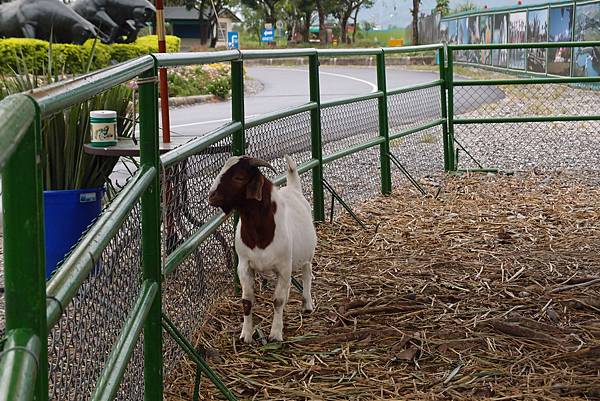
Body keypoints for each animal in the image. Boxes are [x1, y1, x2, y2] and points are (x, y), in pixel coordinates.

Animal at [207, 155, 316, 342]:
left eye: (239, 177)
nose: (211, 196)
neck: (259, 234)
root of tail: (294, 189)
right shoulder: (244, 266)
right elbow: (247, 301)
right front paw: (246, 335)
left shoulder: (284, 266)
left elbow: (278, 300)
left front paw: (276, 334)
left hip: (307, 255)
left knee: (307, 274)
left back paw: (307, 304)